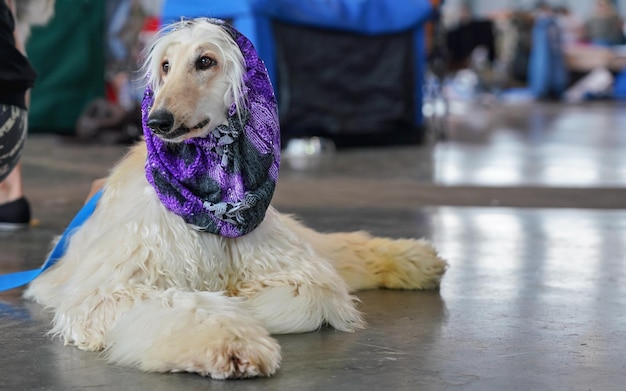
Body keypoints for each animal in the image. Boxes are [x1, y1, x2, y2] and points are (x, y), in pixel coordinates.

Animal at [24, 18, 444, 380]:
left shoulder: (292, 266)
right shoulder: (110, 286)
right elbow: (184, 304)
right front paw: (232, 341)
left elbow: (311, 293)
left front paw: (242, 304)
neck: (213, 200)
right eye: (165, 66)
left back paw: (418, 260)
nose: (158, 120)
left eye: (205, 61)